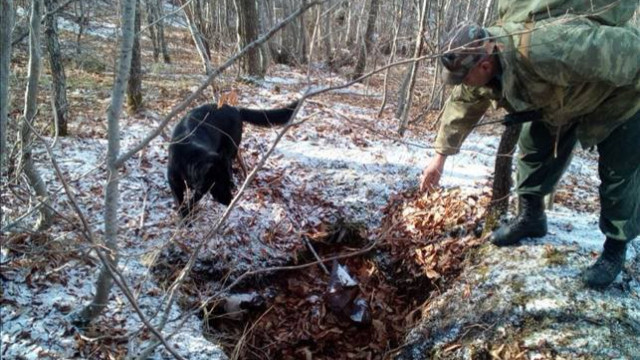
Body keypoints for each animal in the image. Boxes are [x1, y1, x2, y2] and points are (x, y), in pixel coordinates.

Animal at [168, 101, 298, 218]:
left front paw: (187, 214)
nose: (230, 201)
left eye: (225, 184)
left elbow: (194, 199)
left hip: (231, 148)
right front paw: (184, 216)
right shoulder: (174, 183)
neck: (190, 155)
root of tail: (235, 109)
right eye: (219, 184)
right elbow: (180, 201)